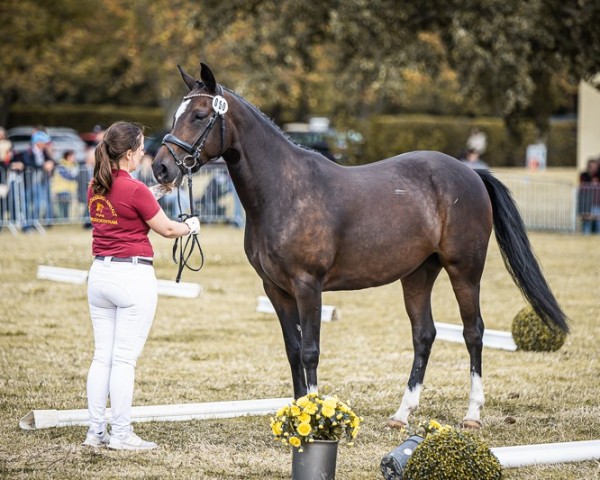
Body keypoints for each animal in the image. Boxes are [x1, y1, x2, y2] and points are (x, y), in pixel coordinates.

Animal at [152, 62, 568, 428]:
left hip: (465, 270)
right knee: (425, 335)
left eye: (201, 115)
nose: (161, 168)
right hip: (418, 274)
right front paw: (296, 415)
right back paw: (401, 415)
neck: (284, 190)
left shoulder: (308, 285)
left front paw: (313, 421)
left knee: (473, 333)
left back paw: (472, 415)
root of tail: (471, 173)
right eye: (178, 114)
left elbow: (310, 351)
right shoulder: (275, 289)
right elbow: (292, 350)